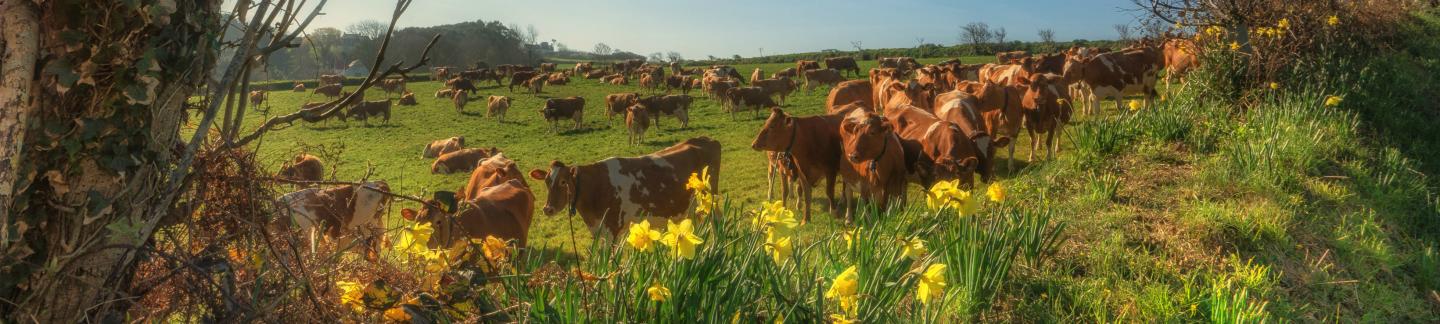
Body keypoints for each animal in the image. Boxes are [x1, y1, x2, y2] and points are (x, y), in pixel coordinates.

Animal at [527, 136, 720, 234]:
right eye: (546, 181)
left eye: (563, 182)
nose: (547, 209)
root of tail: (706, 139)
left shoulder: (613, 229)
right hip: (692, 206)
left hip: (710, 198)